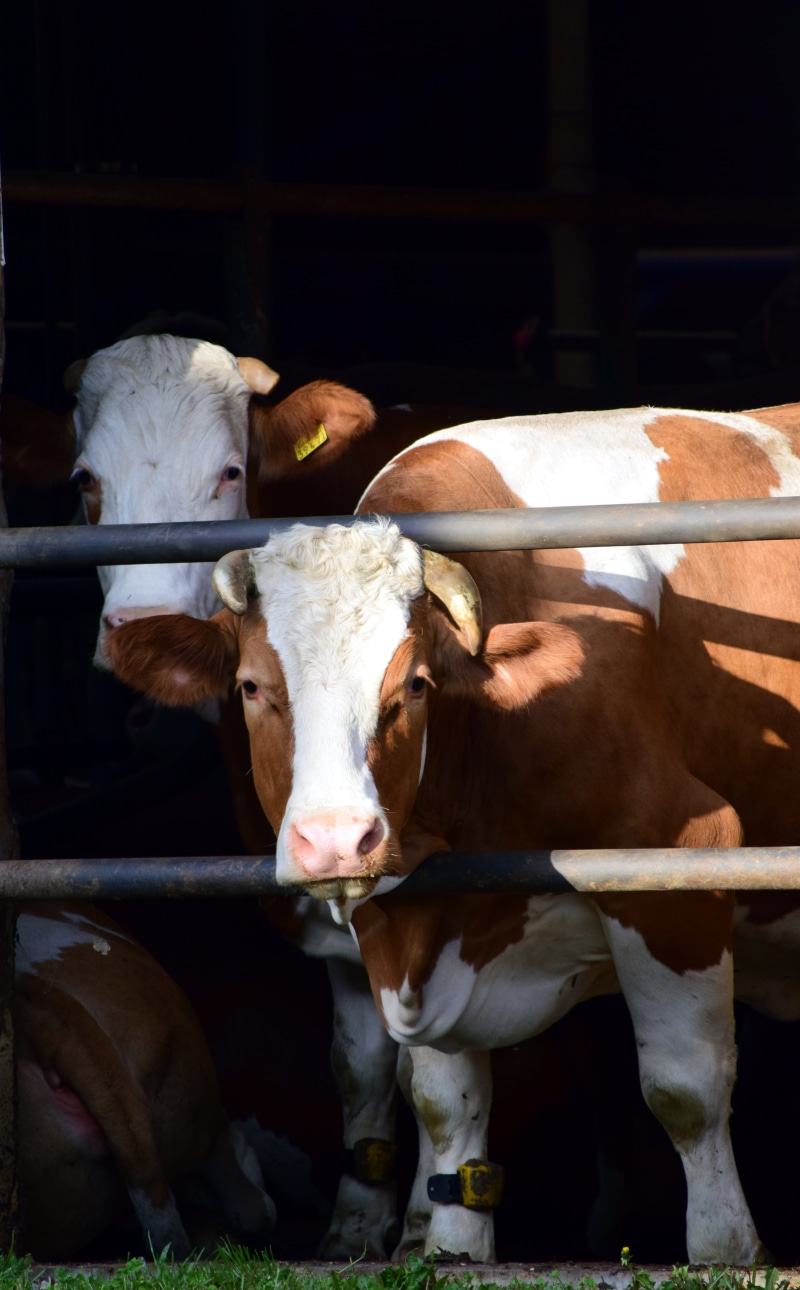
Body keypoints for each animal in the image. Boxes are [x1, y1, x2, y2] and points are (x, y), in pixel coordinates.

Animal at [105, 401, 800, 1265]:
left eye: (414, 685)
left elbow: (685, 1090)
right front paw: (454, 1249)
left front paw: (726, 1253)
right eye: (251, 687)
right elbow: (444, 1104)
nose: (336, 841)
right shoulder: (414, 924)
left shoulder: (679, 859)